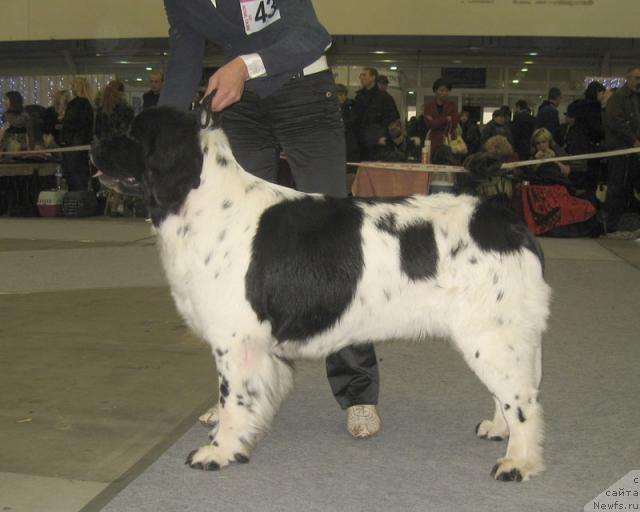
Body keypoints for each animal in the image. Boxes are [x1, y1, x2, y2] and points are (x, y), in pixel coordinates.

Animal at [92, 106, 552, 482]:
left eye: (132, 134)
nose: (94, 147)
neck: (203, 199)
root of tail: (507, 221)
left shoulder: (236, 338)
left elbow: (233, 398)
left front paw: (218, 452)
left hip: (490, 334)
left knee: (523, 400)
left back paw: (519, 462)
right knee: (511, 392)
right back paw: (498, 431)